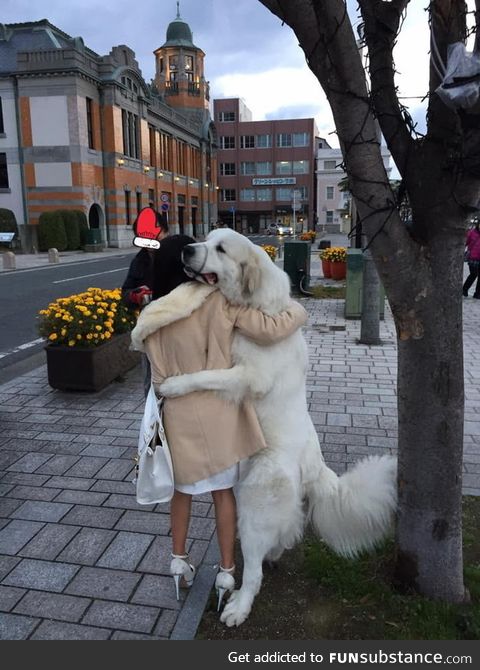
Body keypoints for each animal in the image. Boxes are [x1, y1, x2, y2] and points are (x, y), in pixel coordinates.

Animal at [159, 231, 396, 632]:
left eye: (220, 248)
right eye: (205, 239)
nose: (187, 249)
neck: (256, 306)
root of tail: (316, 466)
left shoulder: (245, 374)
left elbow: (206, 374)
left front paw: (175, 385)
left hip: (255, 500)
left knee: (254, 571)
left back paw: (238, 606)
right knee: (289, 530)